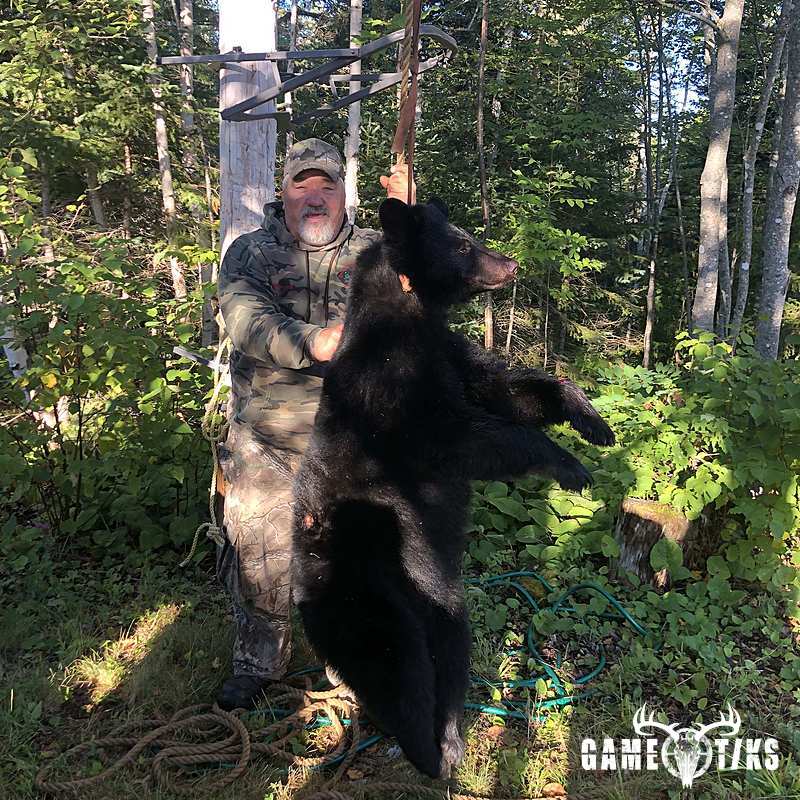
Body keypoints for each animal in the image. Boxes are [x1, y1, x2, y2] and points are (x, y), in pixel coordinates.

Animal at [290, 198, 614, 780]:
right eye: (462, 244)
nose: (510, 264)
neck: (411, 315)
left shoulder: (450, 354)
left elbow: (506, 389)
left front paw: (591, 421)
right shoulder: (392, 391)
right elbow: (463, 435)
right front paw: (568, 465)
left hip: (435, 601)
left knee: (447, 648)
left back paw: (450, 735)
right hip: (365, 593)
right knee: (396, 669)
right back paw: (428, 753)